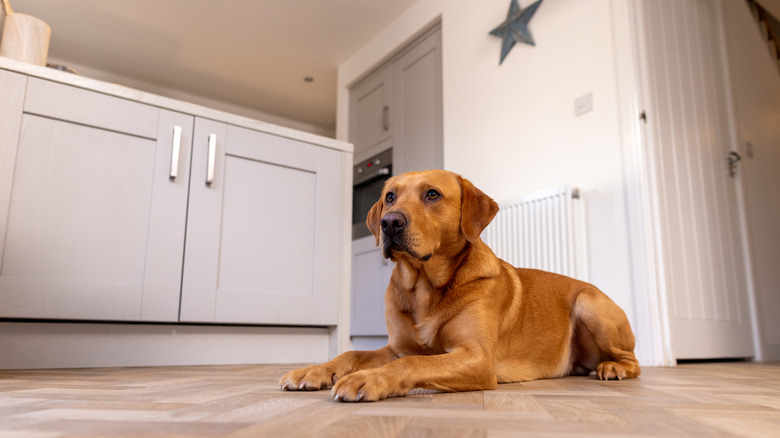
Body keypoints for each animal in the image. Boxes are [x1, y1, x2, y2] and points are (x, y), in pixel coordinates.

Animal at [280, 169, 640, 402]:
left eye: (432, 194)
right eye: (389, 197)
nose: (389, 222)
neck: (424, 286)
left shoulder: (477, 358)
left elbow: (414, 362)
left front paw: (369, 379)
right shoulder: (396, 347)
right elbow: (352, 352)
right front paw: (313, 371)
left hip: (589, 304)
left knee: (632, 361)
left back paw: (612, 368)